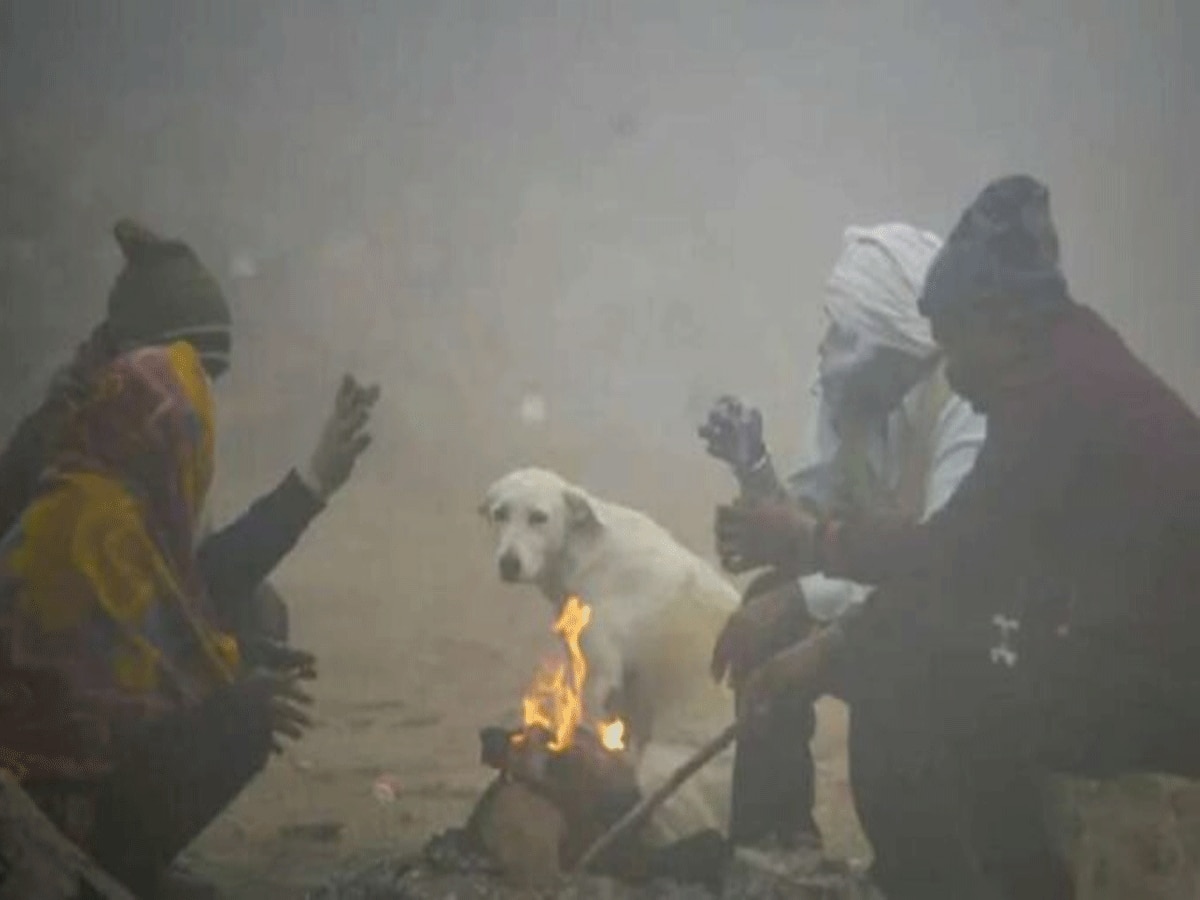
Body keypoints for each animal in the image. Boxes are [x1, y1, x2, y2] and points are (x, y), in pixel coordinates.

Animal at [480, 468, 739, 844]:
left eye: (539, 517)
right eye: (500, 514)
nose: (508, 564)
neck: (584, 552)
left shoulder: (599, 676)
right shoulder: (621, 694)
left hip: (662, 769)